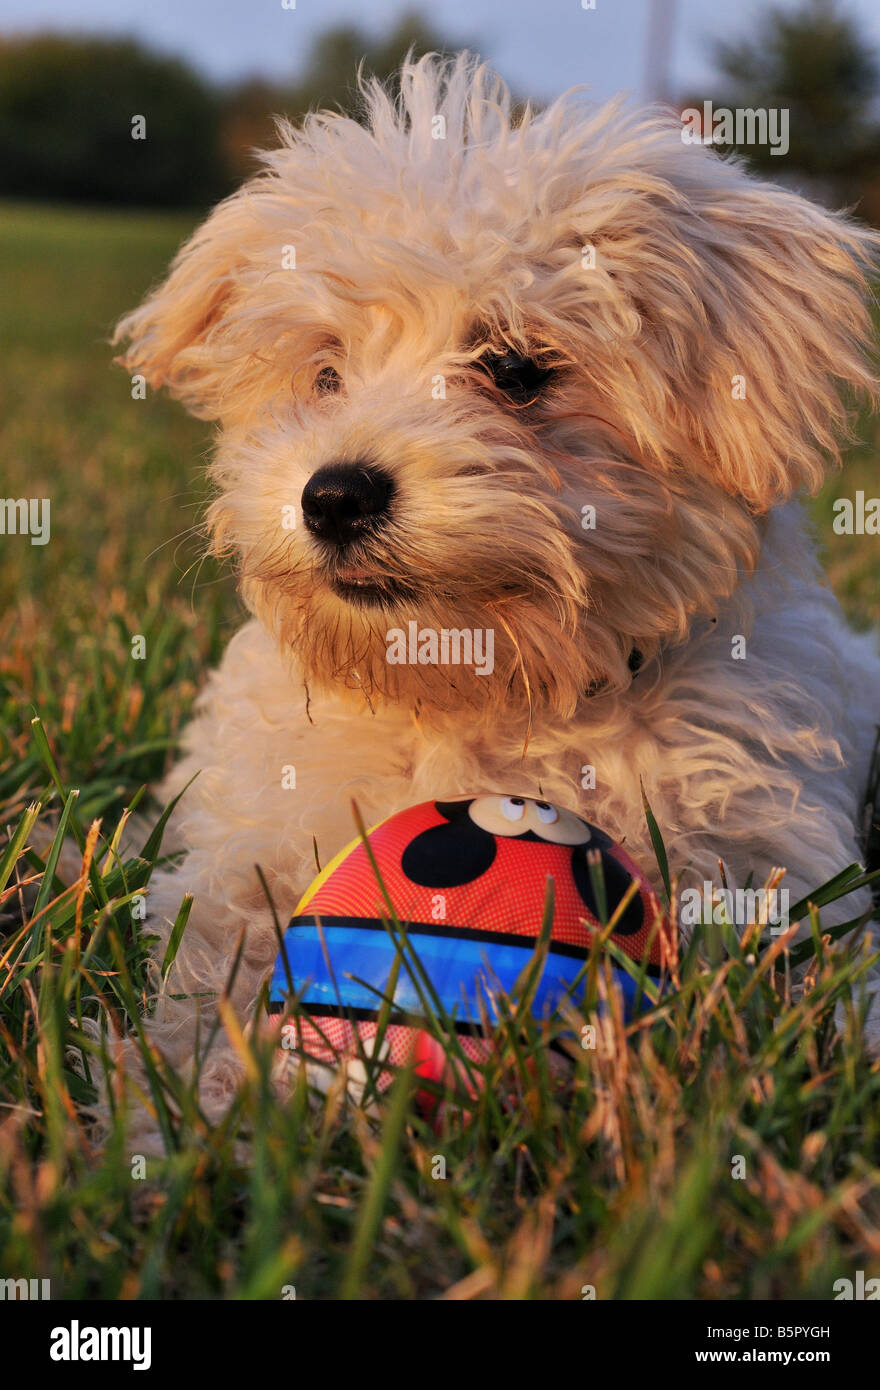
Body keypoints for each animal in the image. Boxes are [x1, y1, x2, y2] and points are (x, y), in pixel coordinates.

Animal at [113, 54, 873, 1139]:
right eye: (326, 372)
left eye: (515, 369)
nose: (333, 495)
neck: (478, 692)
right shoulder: (244, 843)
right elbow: (208, 959)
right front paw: (171, 1109)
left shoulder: (771, 855)